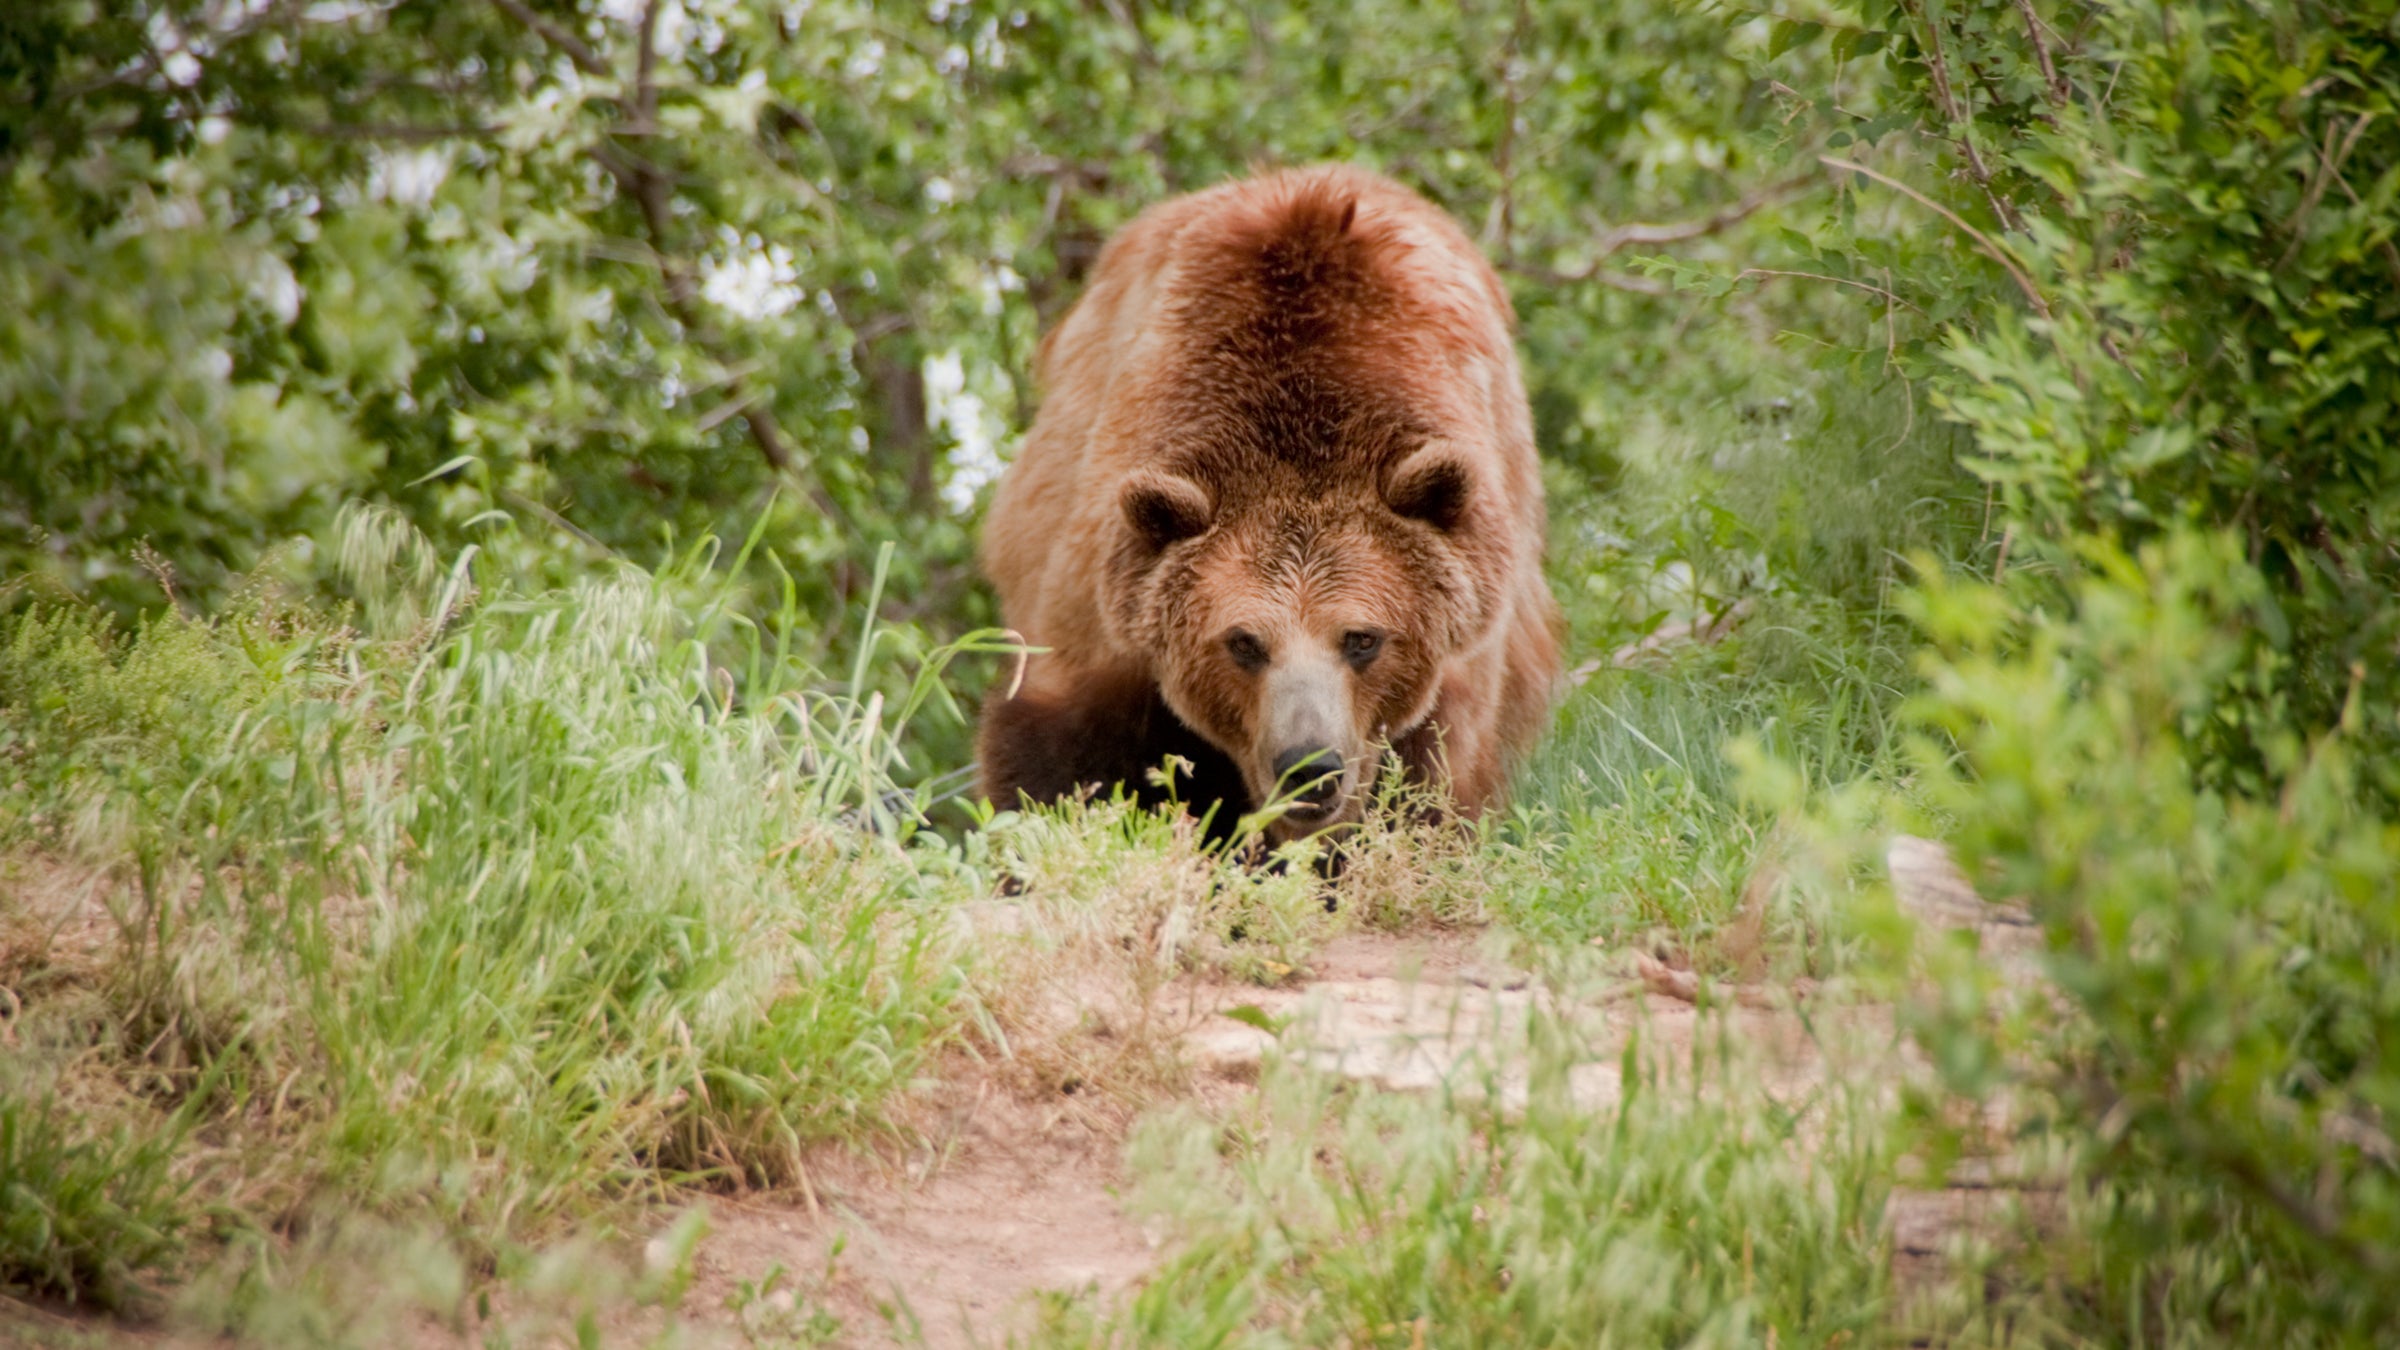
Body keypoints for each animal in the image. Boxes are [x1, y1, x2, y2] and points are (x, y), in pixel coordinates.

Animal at [976, 164, 1561, 843]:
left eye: (1362, 638)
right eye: (1243, 642)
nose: (1310, 767)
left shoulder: (1463, 652)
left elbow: (1428, 788)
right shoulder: (1100, 592)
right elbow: (1064, 761)